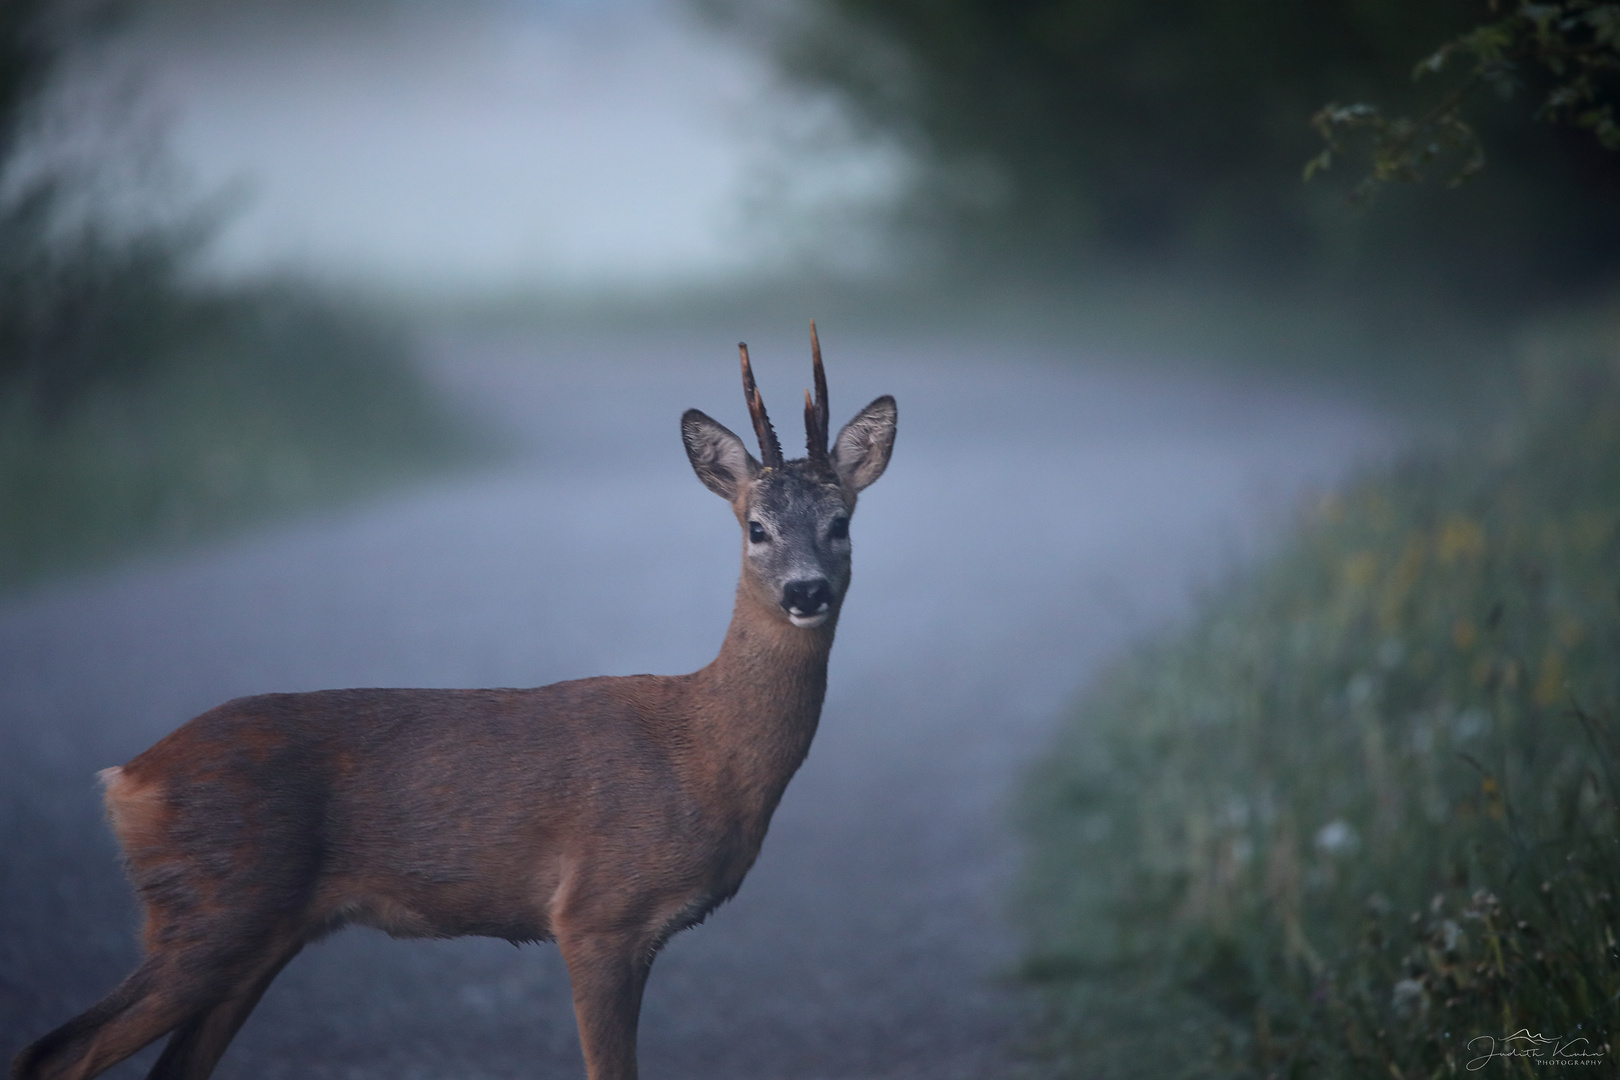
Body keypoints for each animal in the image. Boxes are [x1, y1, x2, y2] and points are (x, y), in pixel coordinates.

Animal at [12, 327, 900, 1080]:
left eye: (841, 523)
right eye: (756, 528)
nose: (806, 591)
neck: (703, 752)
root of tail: (129, 777)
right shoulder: (596, 915)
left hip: (253, 933)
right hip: (213, 909)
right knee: (56, 1052)